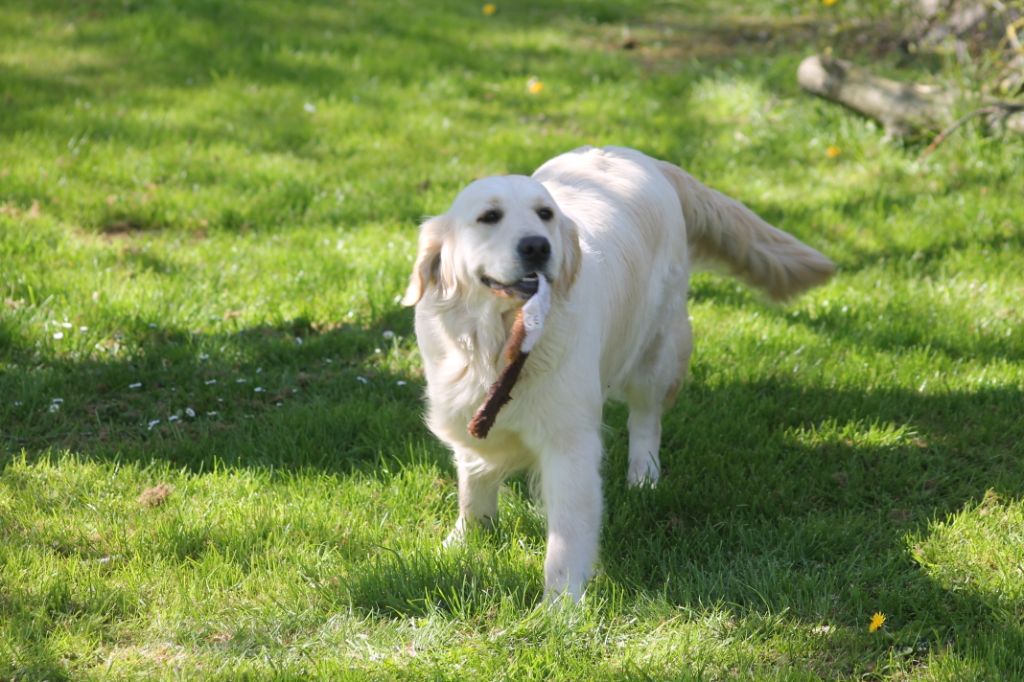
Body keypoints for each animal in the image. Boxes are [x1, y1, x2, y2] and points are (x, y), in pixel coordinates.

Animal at [399, 146, 831, 598]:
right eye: (489, 216)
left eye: (544, 214)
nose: (536, 246)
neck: (495, 344)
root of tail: (645, 158)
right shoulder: (467, 418)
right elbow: (474, 486)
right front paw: (465, 542)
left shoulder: (570, 442)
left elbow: (568, 534)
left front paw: (561, 606)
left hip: (656, 351)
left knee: (646, 419)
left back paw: (644, 476)